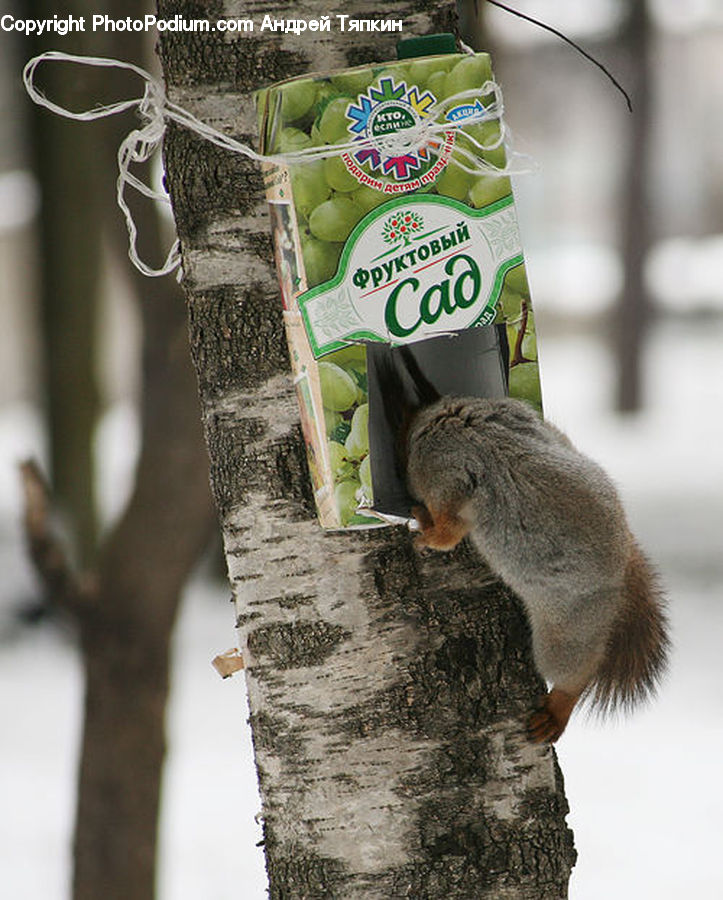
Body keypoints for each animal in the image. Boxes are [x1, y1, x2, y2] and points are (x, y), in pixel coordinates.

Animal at [376, 345, 670, 743]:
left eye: (397, 452)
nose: (397, 481)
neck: (447, 419)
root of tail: (624, 570)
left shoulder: (445, 476)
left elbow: (448, 533)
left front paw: (422, 525)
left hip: (566, 631)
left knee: (578, 670)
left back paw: (557, 710)